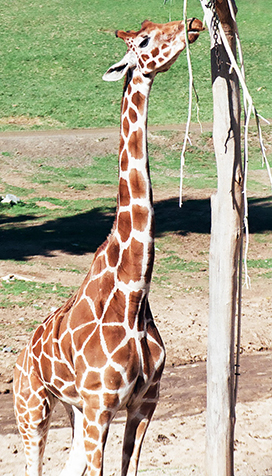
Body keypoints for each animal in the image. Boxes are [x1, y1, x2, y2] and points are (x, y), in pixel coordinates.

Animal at [13, 17, 203, 476]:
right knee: (34, 464)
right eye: (144, 40)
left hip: (73, 410)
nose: (191, 23)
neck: (134, 293)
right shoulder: (101, 407)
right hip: (33, 409)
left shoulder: (144, 403)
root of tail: (21, 356)